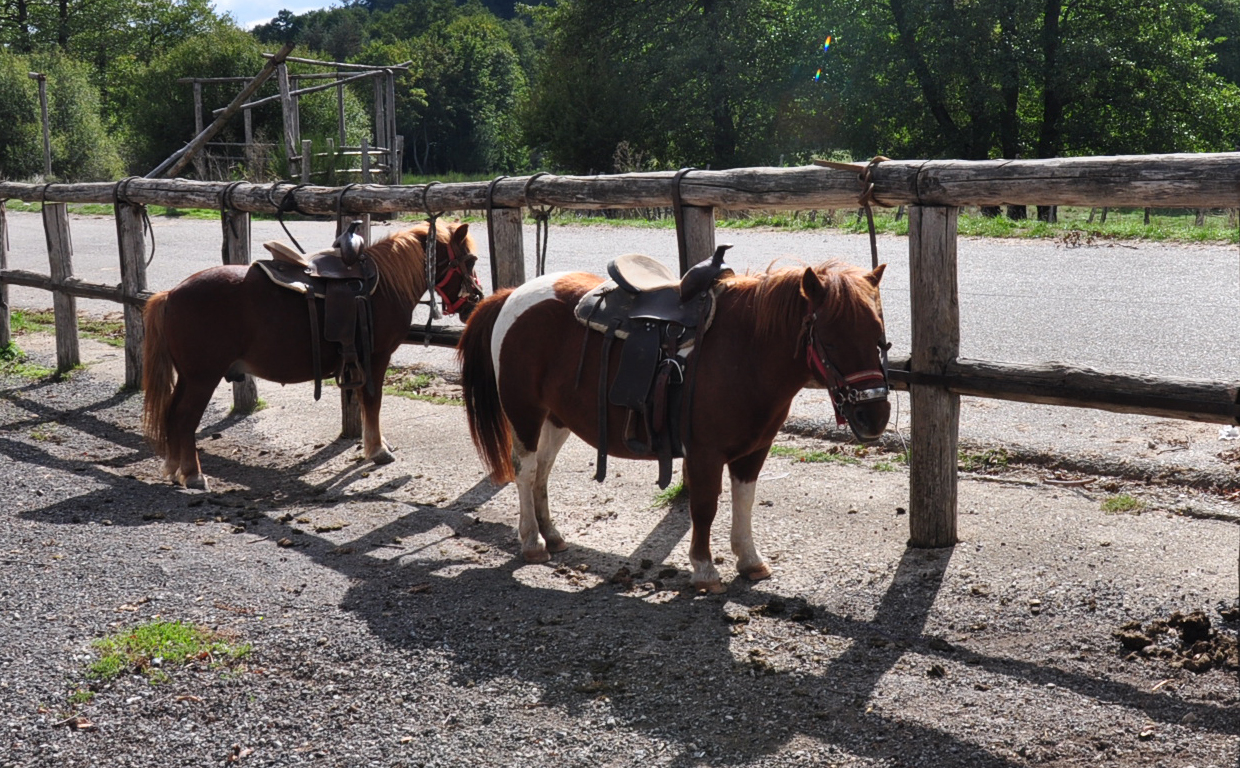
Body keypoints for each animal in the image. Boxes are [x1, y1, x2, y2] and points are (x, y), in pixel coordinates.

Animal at [140, 219, 478, 488]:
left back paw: (175, 468)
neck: (382, 284)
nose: (475, 301)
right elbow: (373, 401)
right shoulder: (377, 356)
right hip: (202, 378)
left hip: (189, 378)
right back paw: (193, 474)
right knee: (184, 418)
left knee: (172, 415)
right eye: (472, 260)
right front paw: (377, 450)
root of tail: (170, 294)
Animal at [456, 259, 892, 595]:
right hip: (525, 413)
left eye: (880, 339)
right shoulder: (704, 453)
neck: (746, 350)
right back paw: (532, 541)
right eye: (830, 341)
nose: (875, 417)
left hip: (556, 418)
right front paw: (705, 569)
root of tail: (512, 294)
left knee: (542, 472)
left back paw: (554, 535)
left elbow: (744, 501)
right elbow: (705, 506)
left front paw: (750, 560)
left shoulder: (754, 450)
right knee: (526, 470)